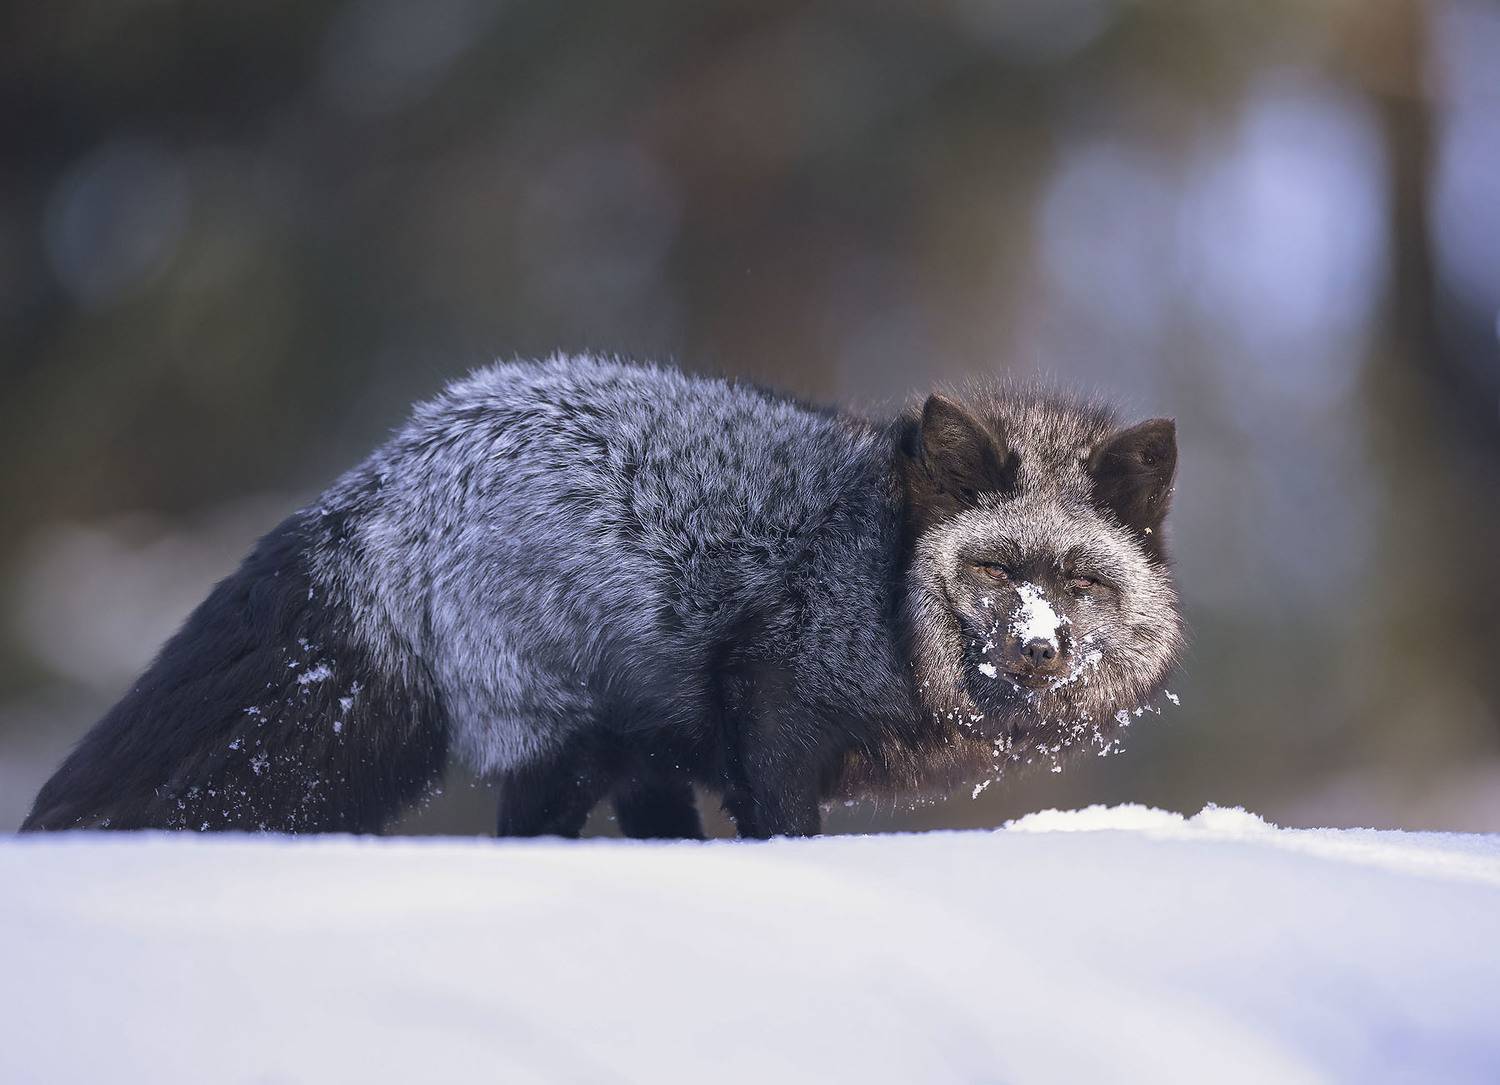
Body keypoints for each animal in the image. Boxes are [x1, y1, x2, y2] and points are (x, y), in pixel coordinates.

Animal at [21, 356, 1182, 838]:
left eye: (1081, 581)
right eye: (991, 570)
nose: (1039, 645)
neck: (883, 583)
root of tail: (383, 478)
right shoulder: (773, 703)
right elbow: (785, 832)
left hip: (633, 746)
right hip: (562, 746)